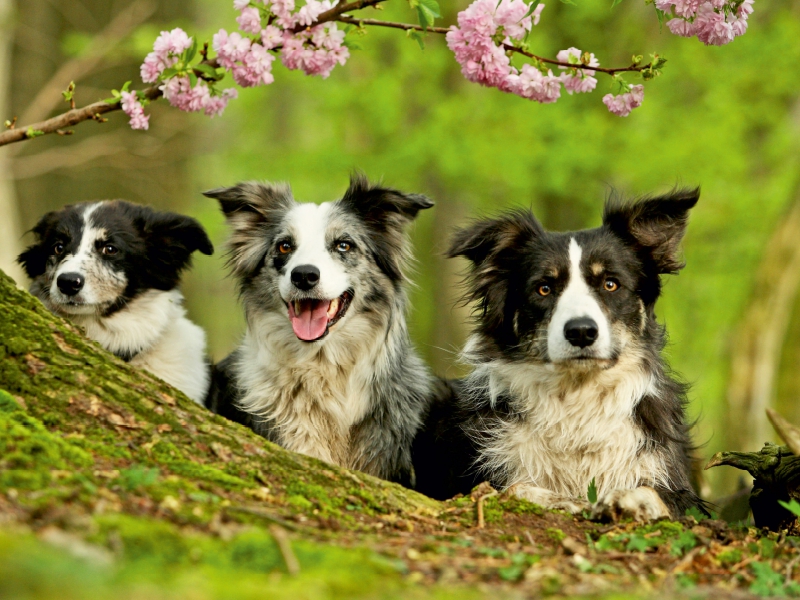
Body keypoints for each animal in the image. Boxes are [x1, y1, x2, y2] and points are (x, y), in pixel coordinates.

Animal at [412, 189, 708, 520]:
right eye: (543, 288)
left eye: (610, 284)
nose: (581, 332)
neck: (576, 398)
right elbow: (515, 488)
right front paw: (562, 500)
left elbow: (659, 494)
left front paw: (632, 499)